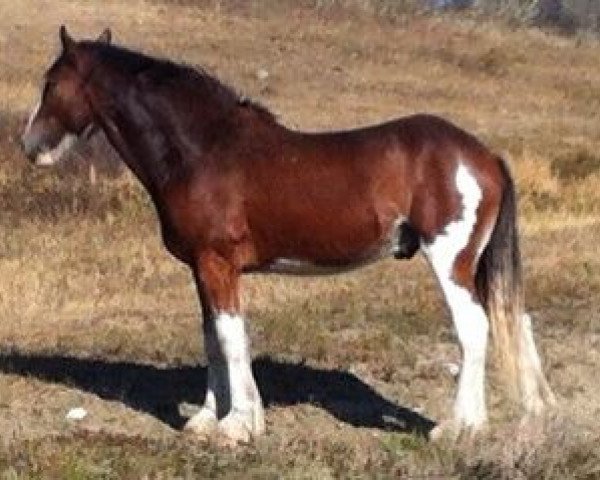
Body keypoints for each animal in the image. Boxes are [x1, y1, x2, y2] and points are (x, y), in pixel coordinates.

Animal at [19, 27, 552, 442]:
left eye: (52, 83)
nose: (29, 146)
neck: (203, 150)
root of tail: (483, 156)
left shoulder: (217, 264)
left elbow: (231, 337)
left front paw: (238, 426)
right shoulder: (202, 268)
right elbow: (212, 338)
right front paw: (210, 421)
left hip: (449, 260)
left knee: (473, 329)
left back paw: (457, 429)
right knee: (506, 321)